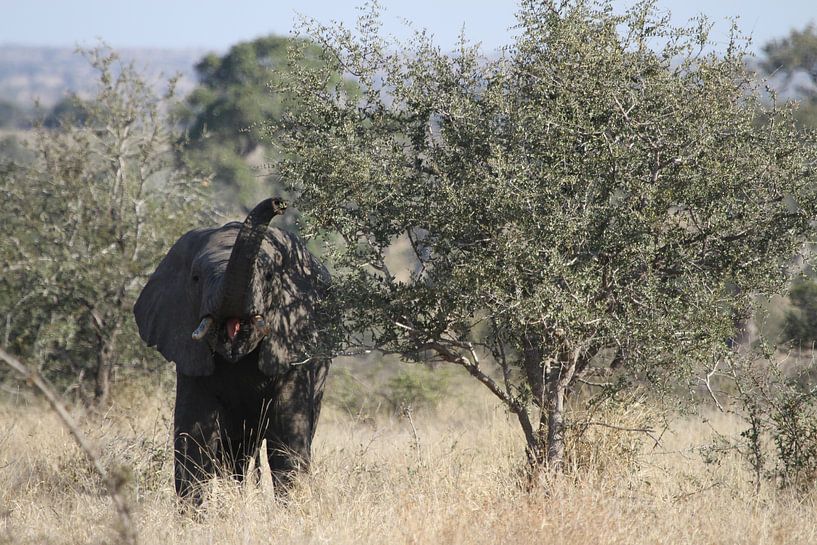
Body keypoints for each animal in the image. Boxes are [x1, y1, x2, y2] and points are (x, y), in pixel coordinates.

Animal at [132, 198, 330, 500]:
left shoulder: (292, 344)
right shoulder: (189, 358)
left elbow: (286, 440)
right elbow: (194, 437)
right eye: (196, 278)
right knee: (234, 452)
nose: (279, 204)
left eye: (269, 276)